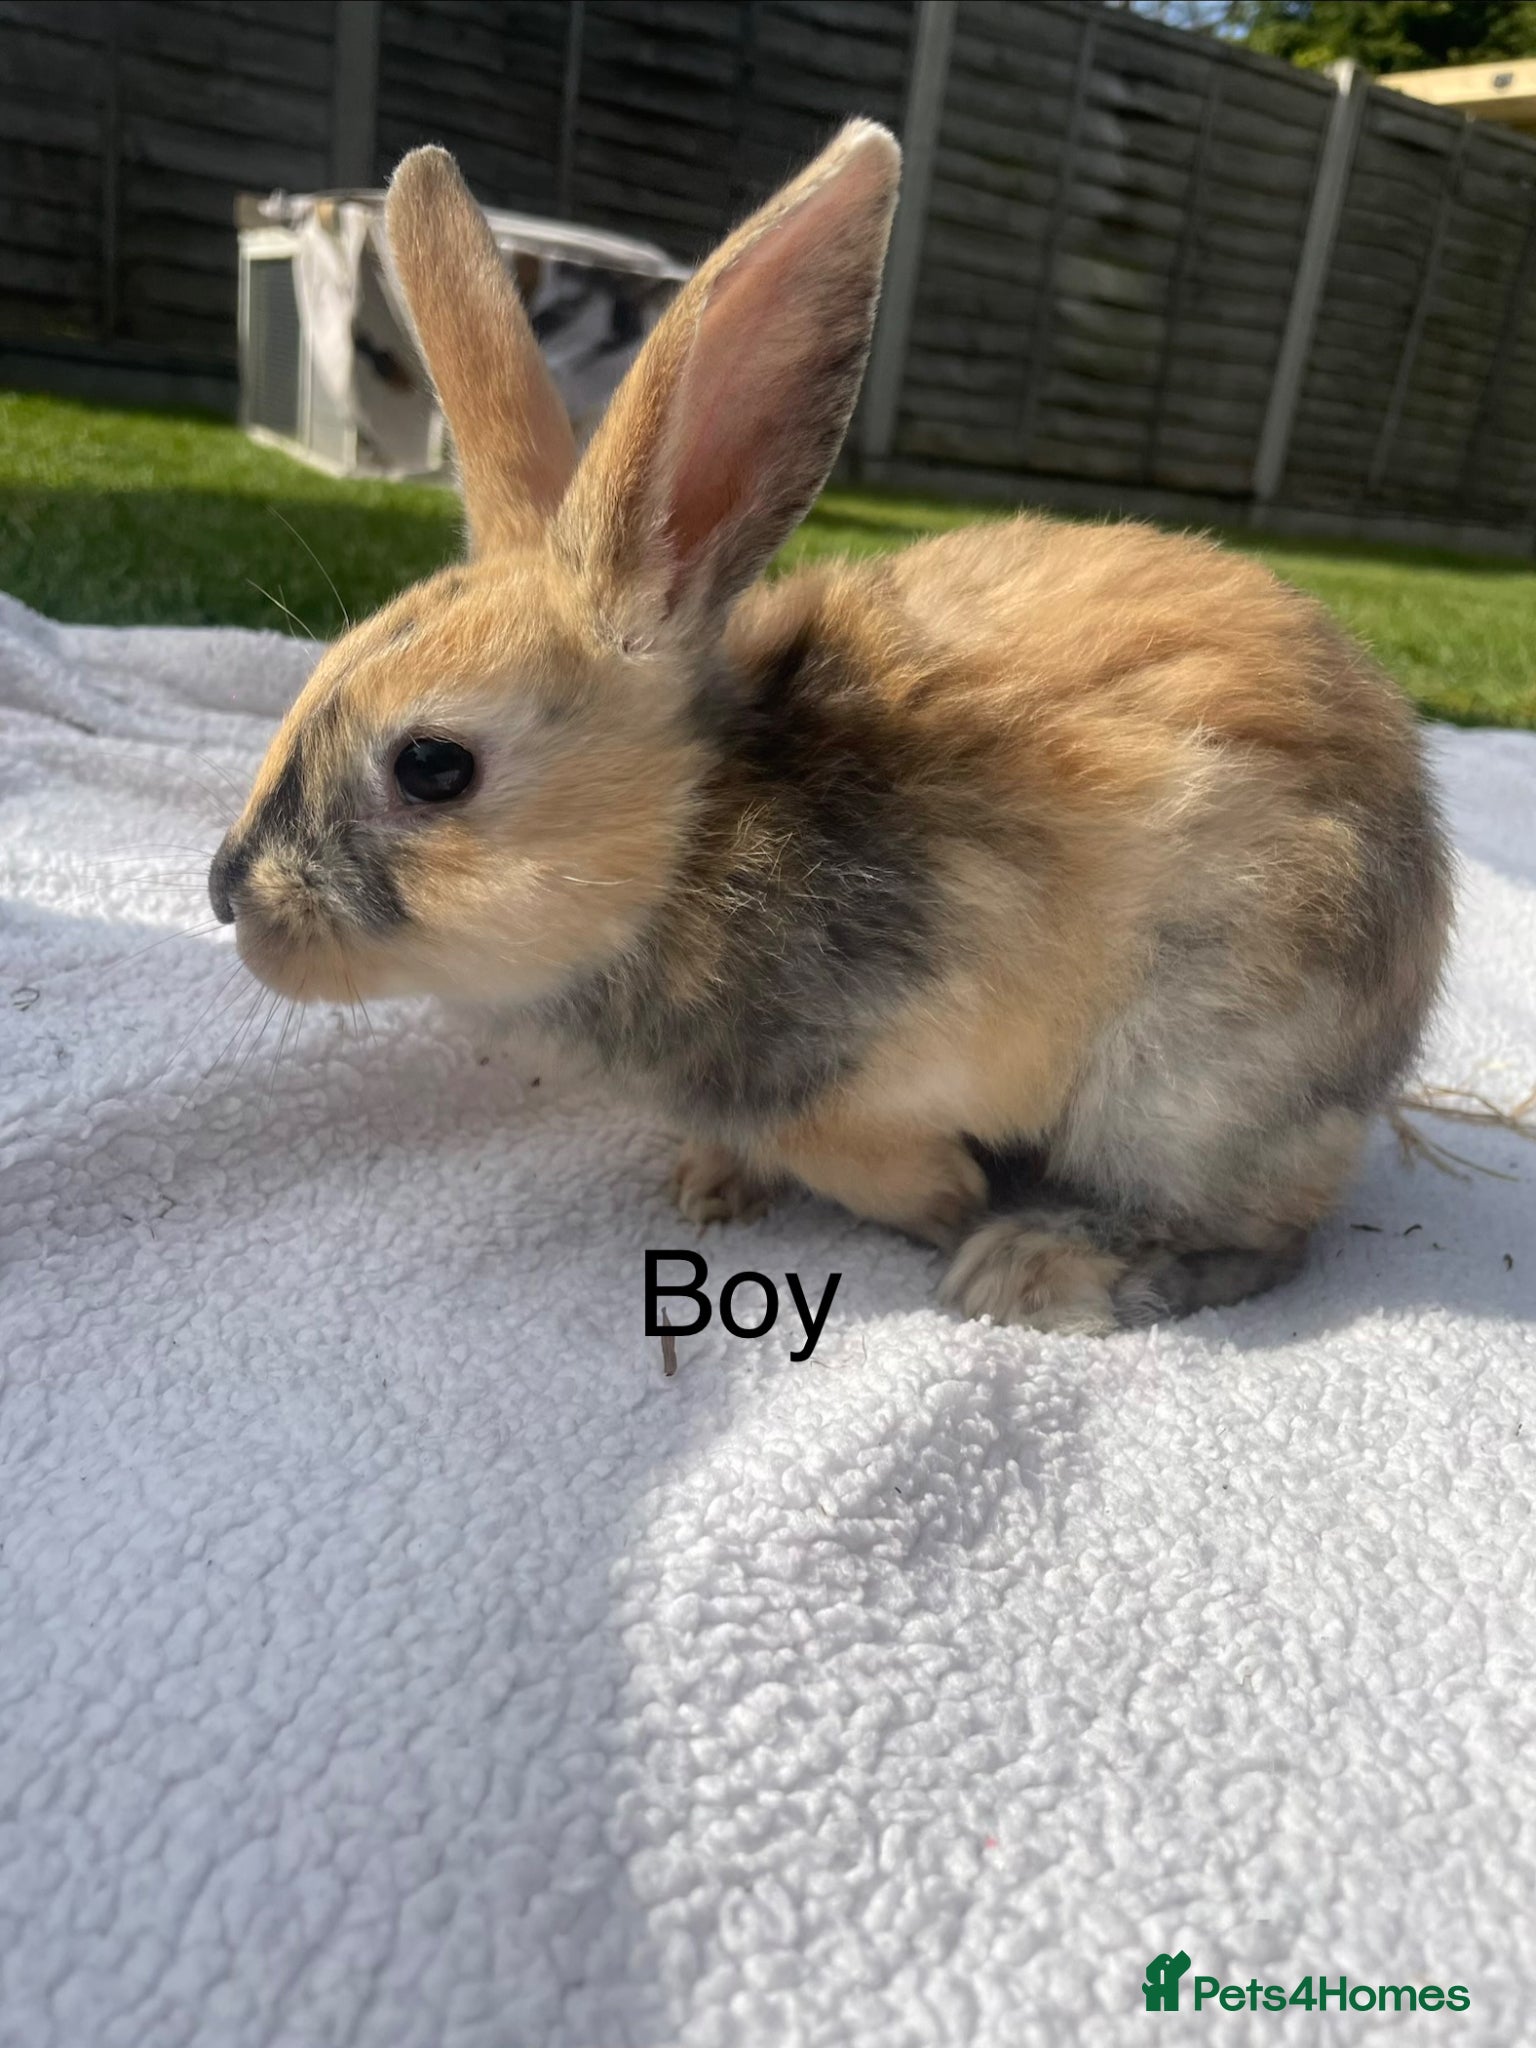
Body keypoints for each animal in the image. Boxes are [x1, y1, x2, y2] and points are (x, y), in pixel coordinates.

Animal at [208, 120, 1452, 1335]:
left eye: (432, 765)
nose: (230, 897)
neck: (693, 843)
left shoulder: (894, 1061)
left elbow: (862, 1150)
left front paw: (941, 1200)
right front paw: (711, 1186)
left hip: (1190, 1074)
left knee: (1258, 1235)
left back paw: (1031, 1269)